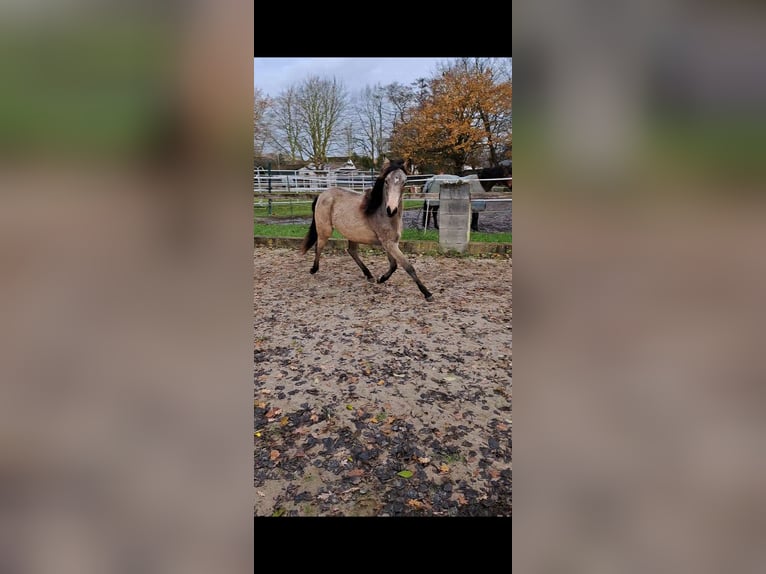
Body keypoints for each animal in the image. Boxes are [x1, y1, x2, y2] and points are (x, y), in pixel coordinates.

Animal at [300, 158, 436, 302]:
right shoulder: (389, 243)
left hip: (352, 234)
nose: (391, 209)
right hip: (325, 230)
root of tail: (321, 195)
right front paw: (427, 294)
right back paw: (314, 269)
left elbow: (393, 265)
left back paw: (369, 275)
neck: (381, 212)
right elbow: (408, 267)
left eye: (404, 182)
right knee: (319, 247)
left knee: (351, 251)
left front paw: (381, 279)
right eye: (386, 181)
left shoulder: (390, 243)